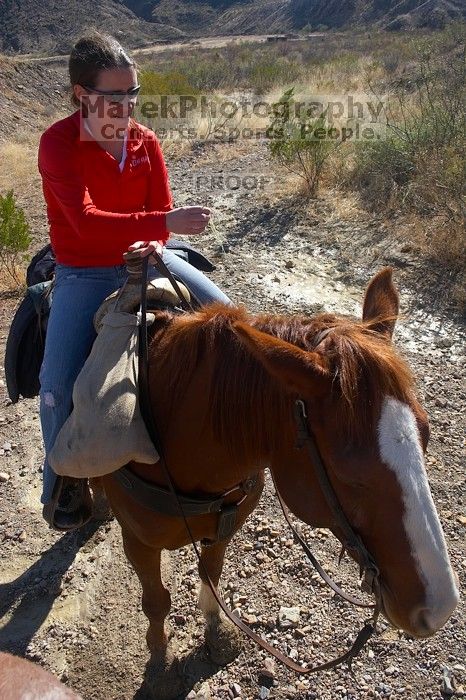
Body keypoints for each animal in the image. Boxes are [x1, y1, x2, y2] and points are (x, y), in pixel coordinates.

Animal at [101, 266, 458, 696]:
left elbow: (211, 573)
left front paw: (216, 633)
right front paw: (158, 663)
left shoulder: (223, 526)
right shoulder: (137, 542)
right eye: (349, 475)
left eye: (426, 435)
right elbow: (156, 601)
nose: (438, 608)